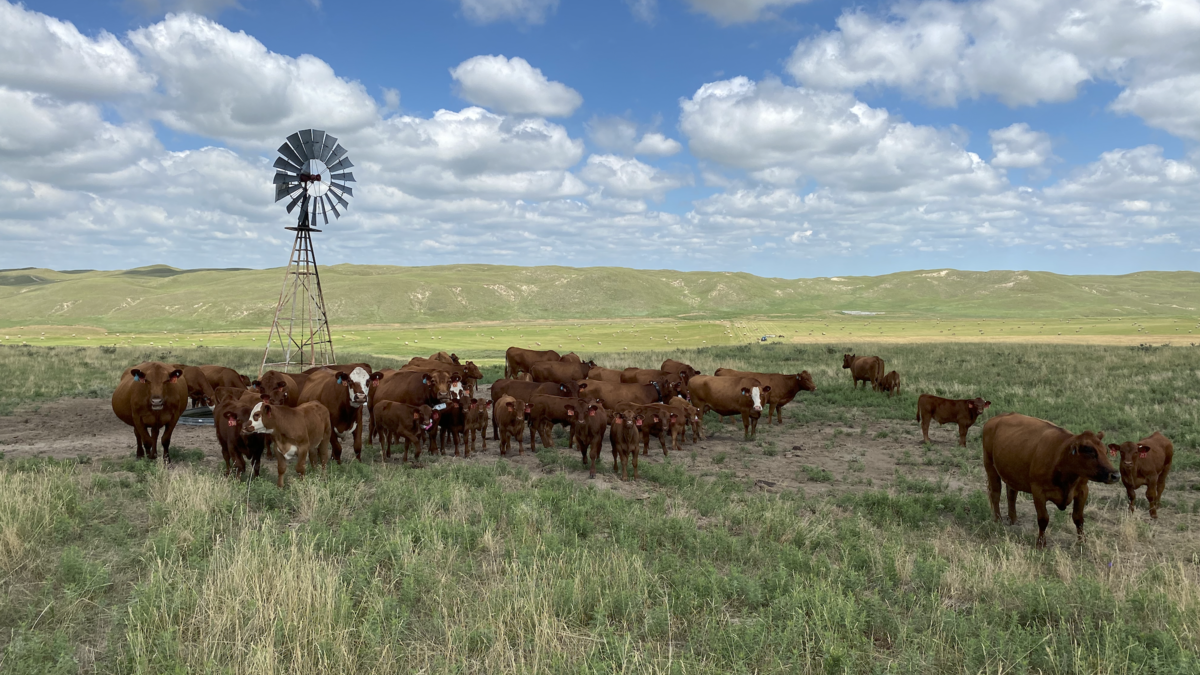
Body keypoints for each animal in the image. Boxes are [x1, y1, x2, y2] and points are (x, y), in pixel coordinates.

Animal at [982, 413, 1119, 547]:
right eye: (1090, 451)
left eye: (1106, 451)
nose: (1115, 475)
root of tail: (997, 418)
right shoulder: (1038, 491)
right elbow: (1043, 519)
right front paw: (1041, 543)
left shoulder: (1083, 490)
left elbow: (1078, 518)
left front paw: (1082, 542)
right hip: (990, 466)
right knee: (995, 493)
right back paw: (997, 520)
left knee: (1011, 493)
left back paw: (1013, 519)